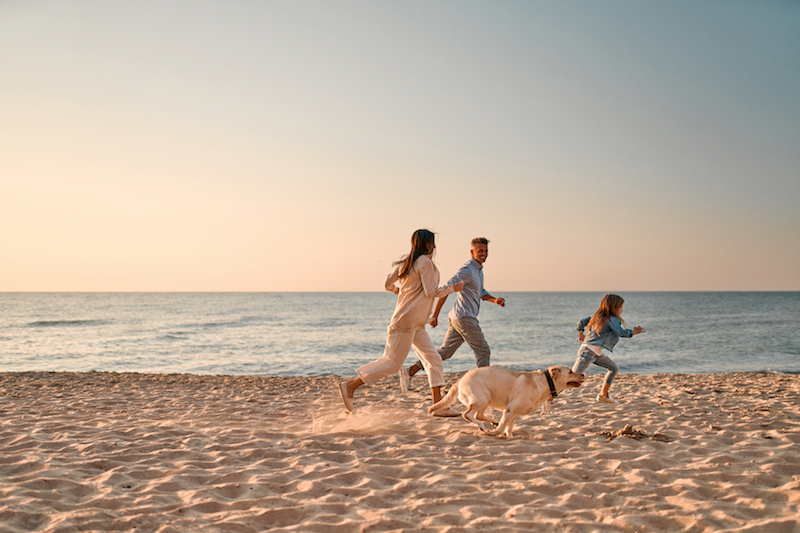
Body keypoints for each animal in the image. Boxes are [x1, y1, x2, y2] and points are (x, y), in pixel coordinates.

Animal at [428, 364, 584, 438]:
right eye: (570, 371)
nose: (583, 374)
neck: (546, 382)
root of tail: (461, 378)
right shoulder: (510, 410)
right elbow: (502, 428)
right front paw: (493, 433)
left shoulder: (512, 413)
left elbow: (508, 428)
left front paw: (510, 436)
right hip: (482, 398)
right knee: (467, 415)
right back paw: (483, 426)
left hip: (487, 399)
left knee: (478, 415)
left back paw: (492, 421)